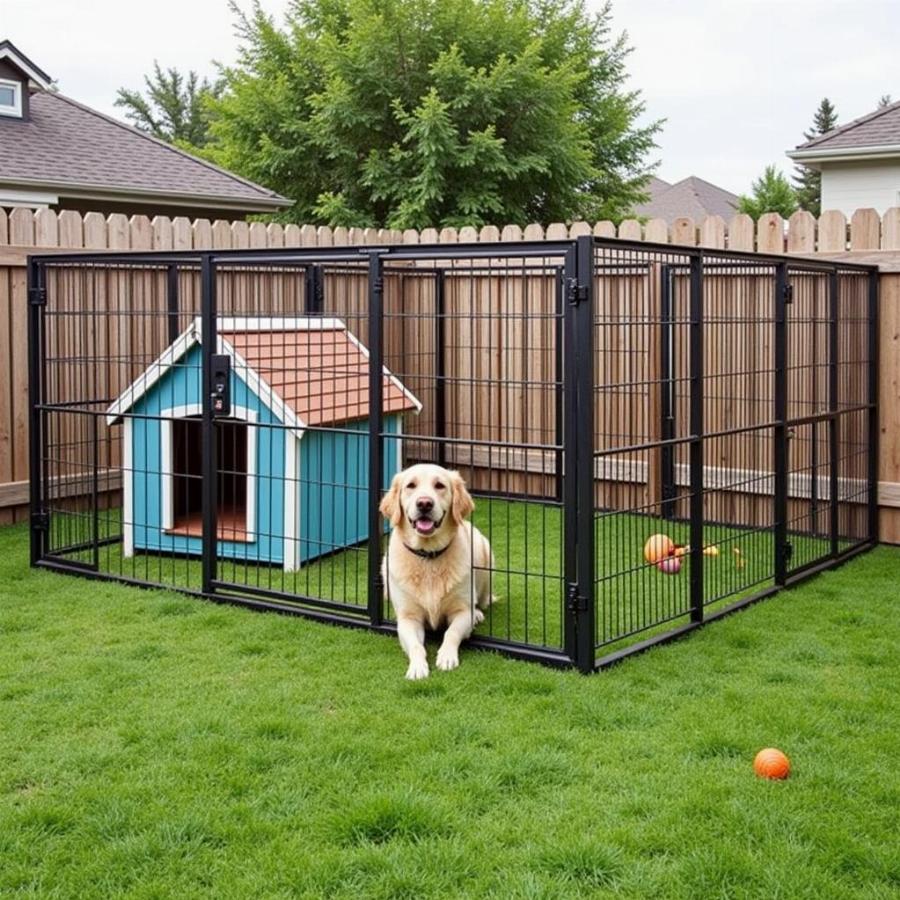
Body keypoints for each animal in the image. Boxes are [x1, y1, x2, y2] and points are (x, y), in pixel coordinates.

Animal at [378, 468, 496, 680]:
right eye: (411, 485)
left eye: (439, 485)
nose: (424, 503)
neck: (428, 556)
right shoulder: (409, 618)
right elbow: (416, 646)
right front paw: (417, 667)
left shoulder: (461, 612)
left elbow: (451, 633)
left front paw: (447, 657)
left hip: (486, 552)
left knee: (480, 601)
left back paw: (478, 613)